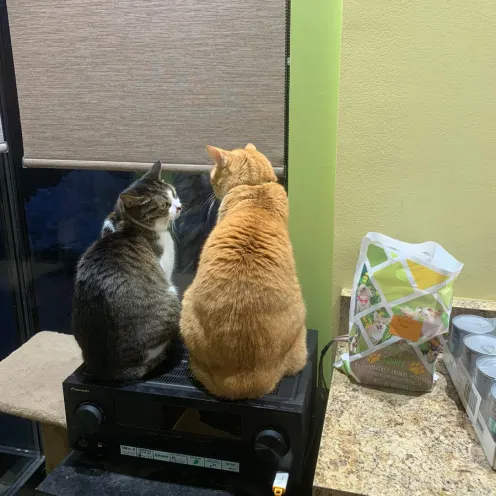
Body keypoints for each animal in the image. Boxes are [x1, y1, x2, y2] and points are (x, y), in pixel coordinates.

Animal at [72, 162, 181, 380]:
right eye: (165, 205)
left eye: (174, 194)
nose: (180, 206)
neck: (125, 223)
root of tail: (112, 369)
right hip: (171, 295)